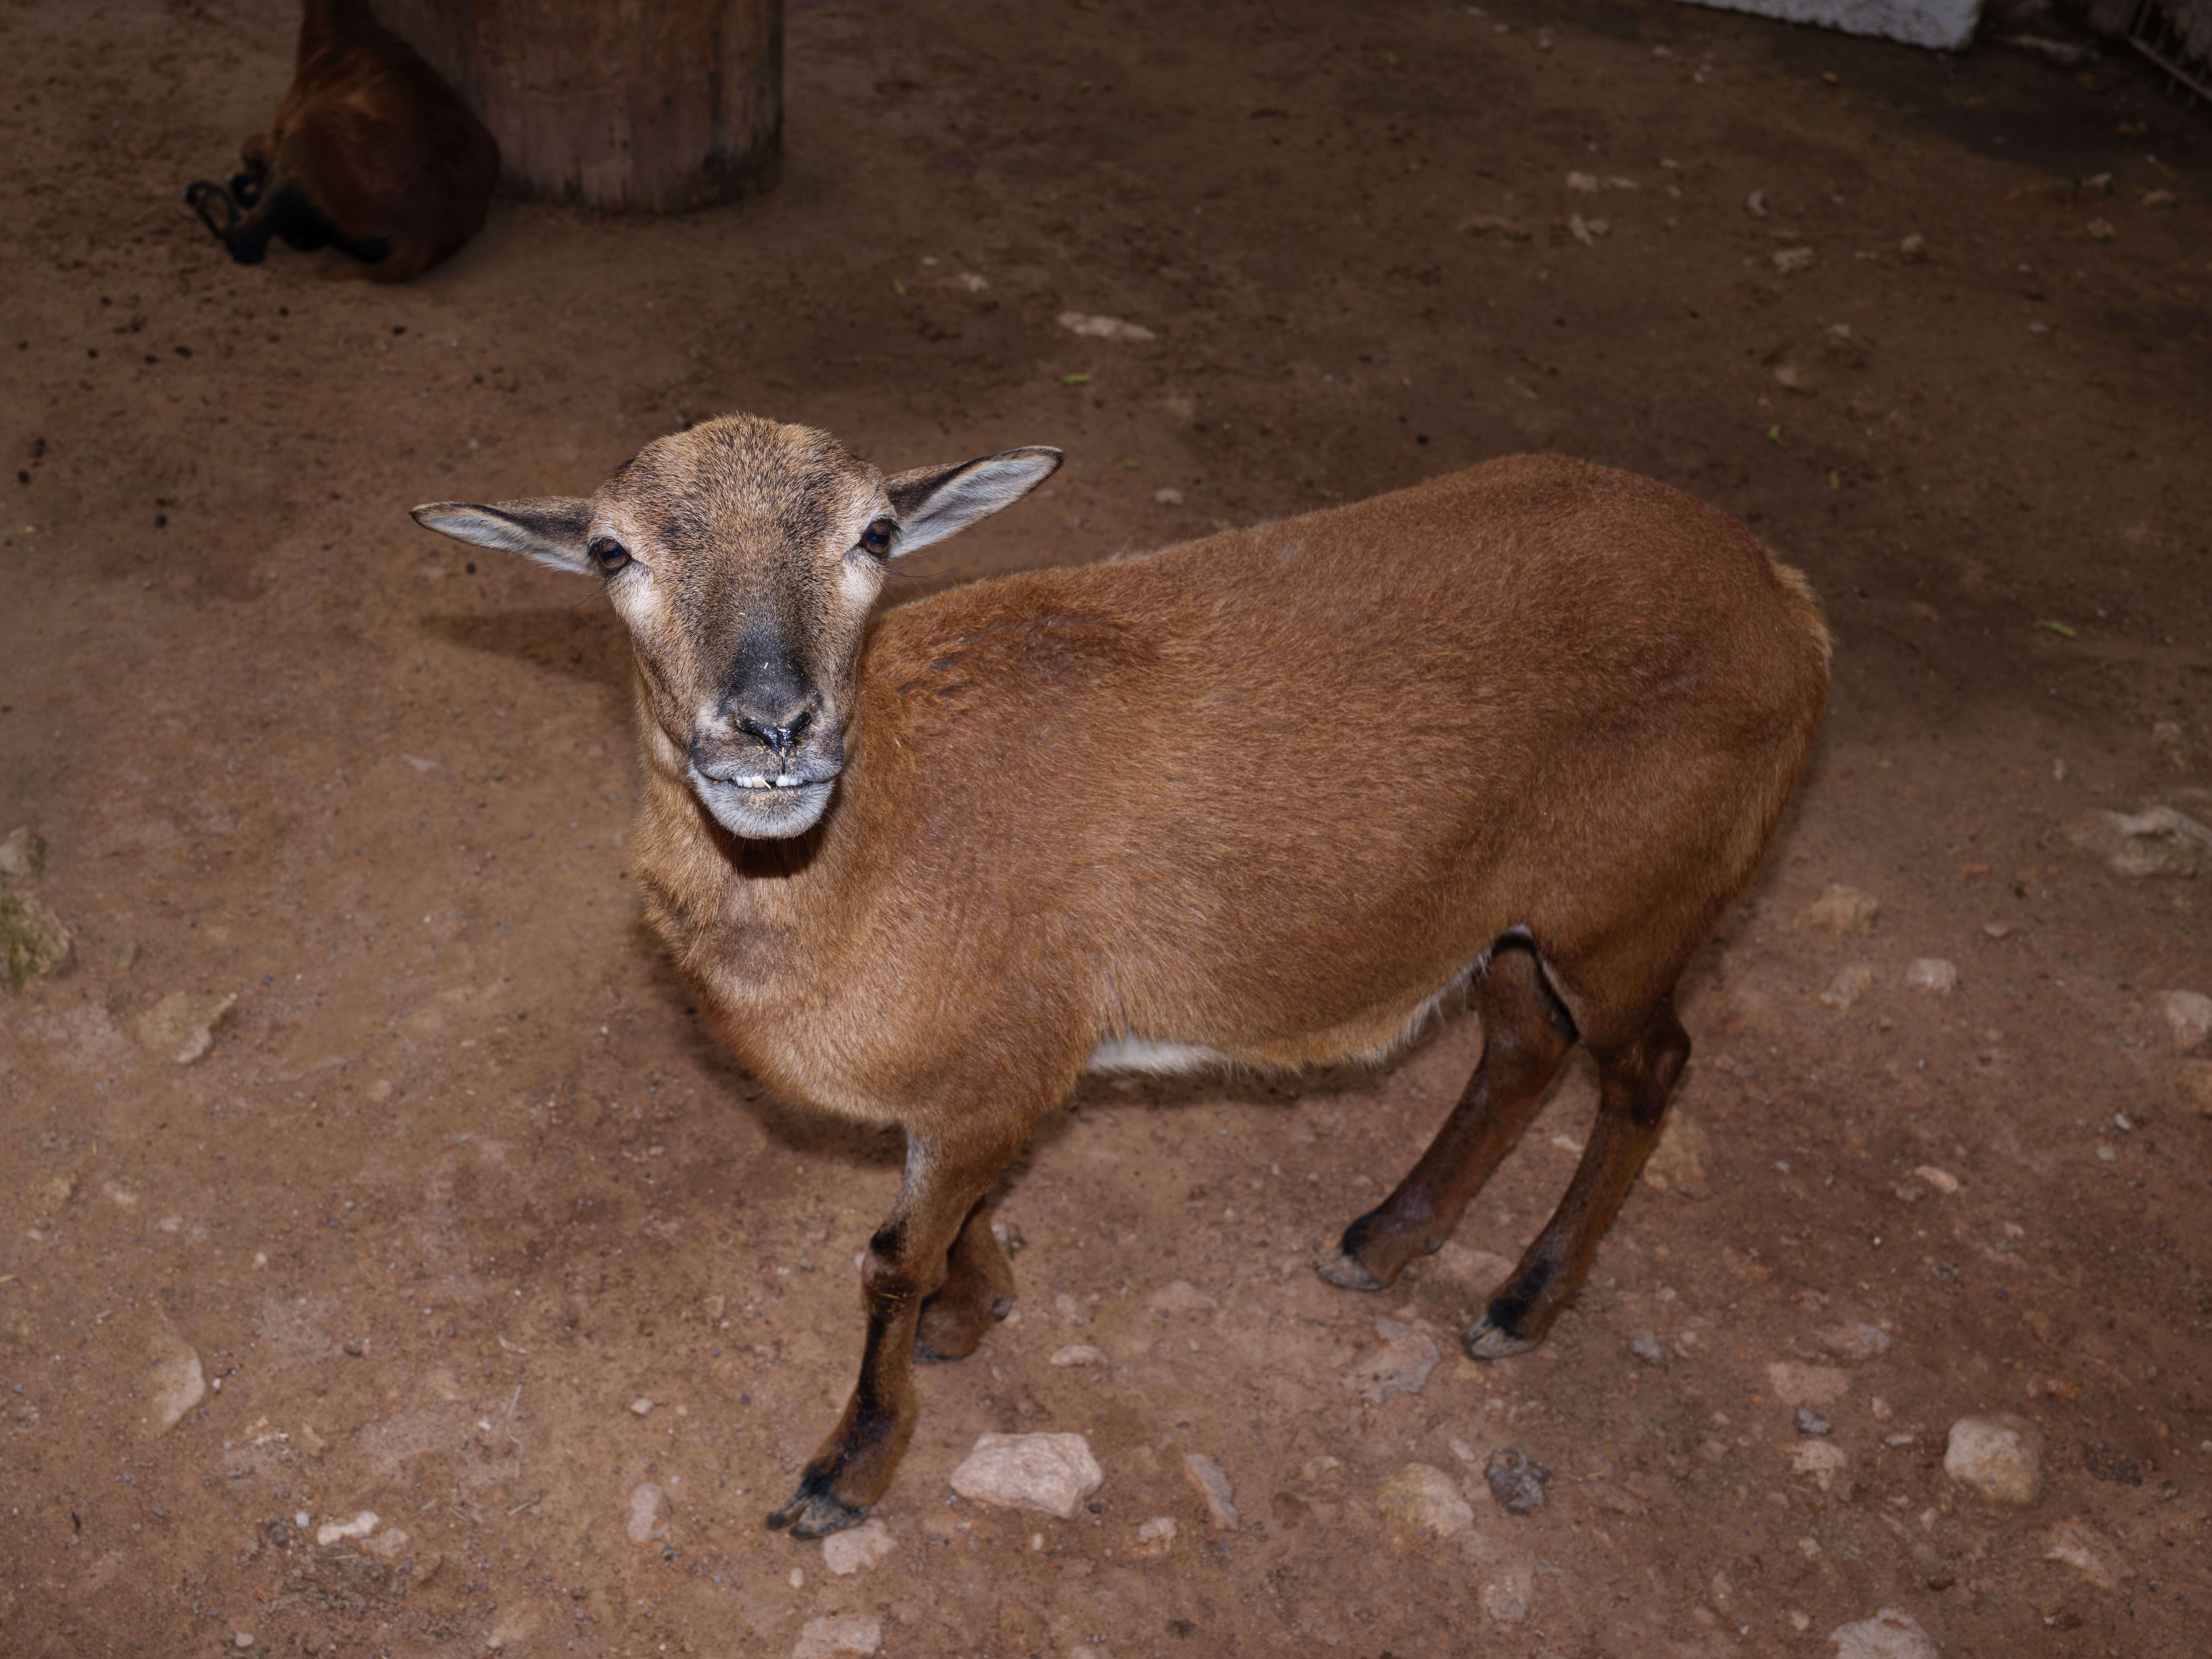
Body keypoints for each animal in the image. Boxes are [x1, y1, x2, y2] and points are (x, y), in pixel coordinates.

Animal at [184, 0, 497, 283]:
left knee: (246, 243)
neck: (348, 29)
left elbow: (253, 148)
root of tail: (419, 246)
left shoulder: (284, 128)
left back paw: (212, 196)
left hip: (314, 130)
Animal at [411, 416, 1831, 1538]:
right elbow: (952, 1223)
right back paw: (1385, 1238)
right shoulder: (991, 1079)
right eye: (611, 552)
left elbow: (886, 1263)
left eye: (879, 533)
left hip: (1634, 903)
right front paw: (977, 1305)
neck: (877, 850)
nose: (771, 728)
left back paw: (1523, 1301)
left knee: (1648, 1071)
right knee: (1525, 1048)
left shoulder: (994, 1068)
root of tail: (1779, 593)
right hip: (1508, 913)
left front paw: (850, 1467)